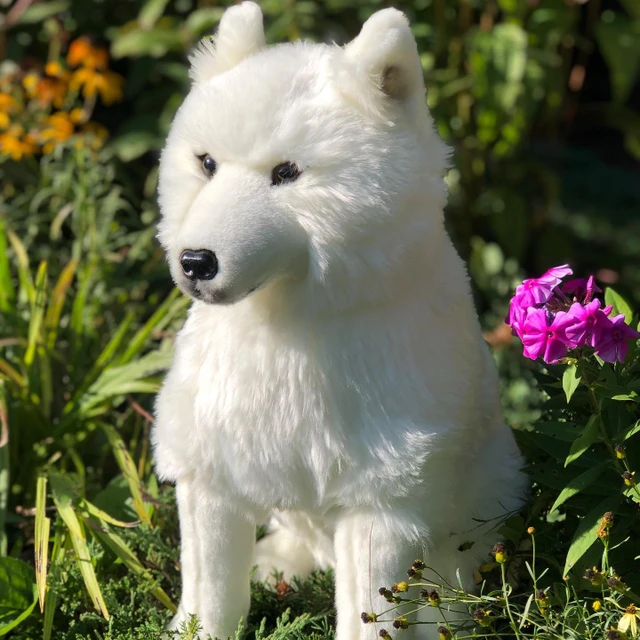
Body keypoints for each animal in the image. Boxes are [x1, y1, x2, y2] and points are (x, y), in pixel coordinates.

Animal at [152, 3, 527, 638]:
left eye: (286, 173)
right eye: (206, 164)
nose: (196, 261)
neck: (287, 326)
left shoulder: (381, 501)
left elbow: (369, 611)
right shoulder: (212, 475)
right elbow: (210, 589)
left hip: (483, 499)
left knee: (454, 578)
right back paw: (277, 565)